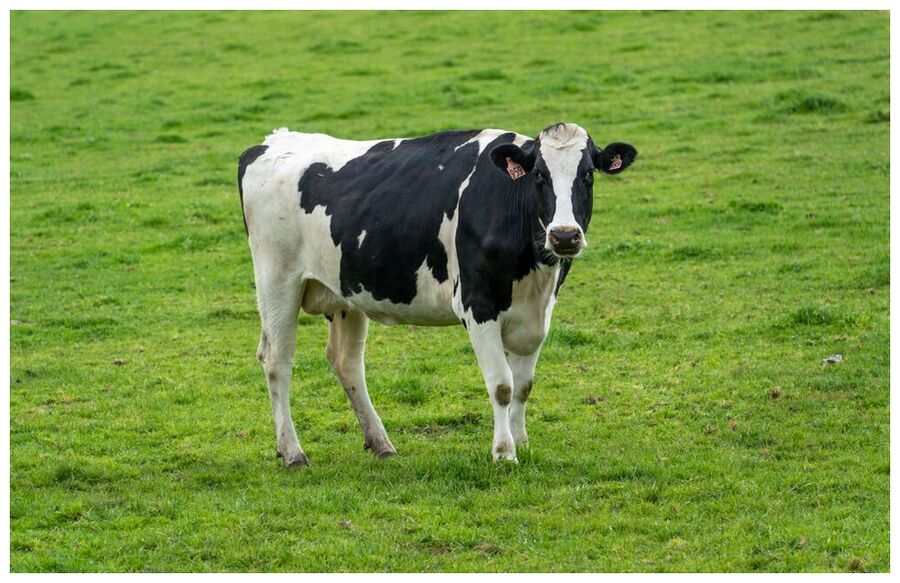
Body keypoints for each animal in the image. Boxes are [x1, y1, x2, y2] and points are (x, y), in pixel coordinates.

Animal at [238, 122, 636, 467]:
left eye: (588, 174)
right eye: (539, 175)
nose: (564, 235)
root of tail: (273, 140)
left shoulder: (538, 312)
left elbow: (523, 386)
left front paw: (522, 442)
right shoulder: (478, 305)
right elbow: (502, 386)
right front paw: (504, 453)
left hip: (345, 292)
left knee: (345, 361)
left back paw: (380, 443)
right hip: (277, 279)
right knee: (277, 361)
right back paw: (292, 452)